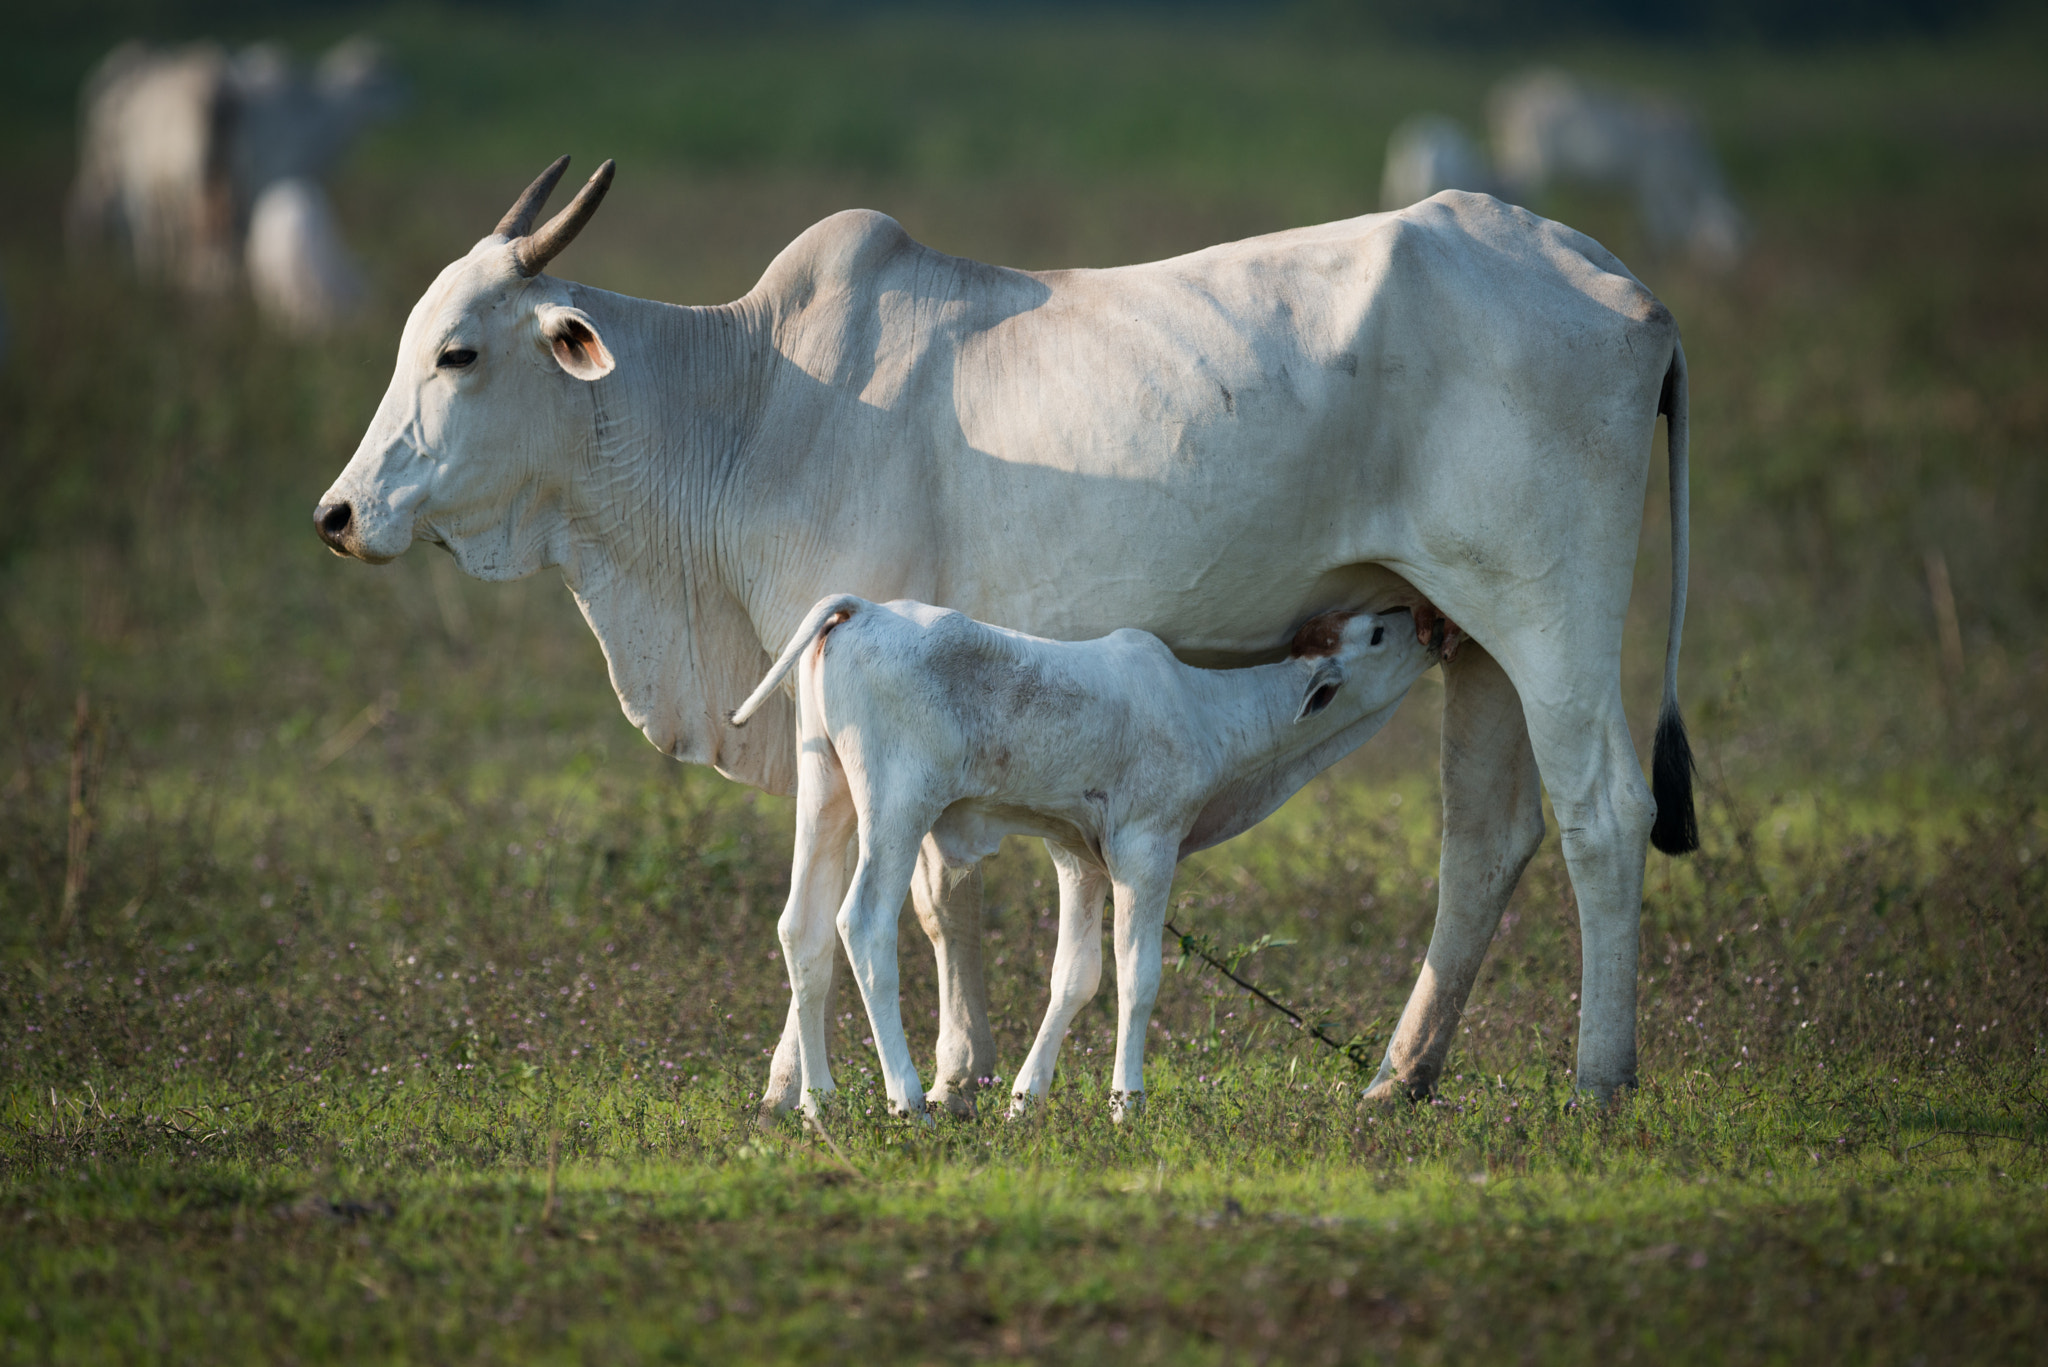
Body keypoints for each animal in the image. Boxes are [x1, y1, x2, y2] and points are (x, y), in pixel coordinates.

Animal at [729, 598, 1433, 1123]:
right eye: (1376, 633)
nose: (1425, 620)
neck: (1204, 709)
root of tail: (864, 609)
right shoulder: (1145, 847)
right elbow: (1138, 975)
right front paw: (1128, 1104)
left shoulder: (1079, 859)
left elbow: (1075, 976)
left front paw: (1025, 1100)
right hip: (897, 806)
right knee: (864, 925)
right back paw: (907, 1100)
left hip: (826, 794)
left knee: (802, 929)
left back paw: (818, 1104)